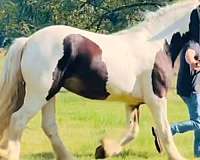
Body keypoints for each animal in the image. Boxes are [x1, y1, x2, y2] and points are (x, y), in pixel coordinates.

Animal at [0, 0, 198, 160]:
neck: (156, 45)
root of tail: (27, 42)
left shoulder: (133, 103)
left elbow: (132, 131)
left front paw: (104, 150)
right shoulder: (156, 98)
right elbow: (164, 131)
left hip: (49, 94)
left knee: (49, 127)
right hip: (39, 95)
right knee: (18, 120)